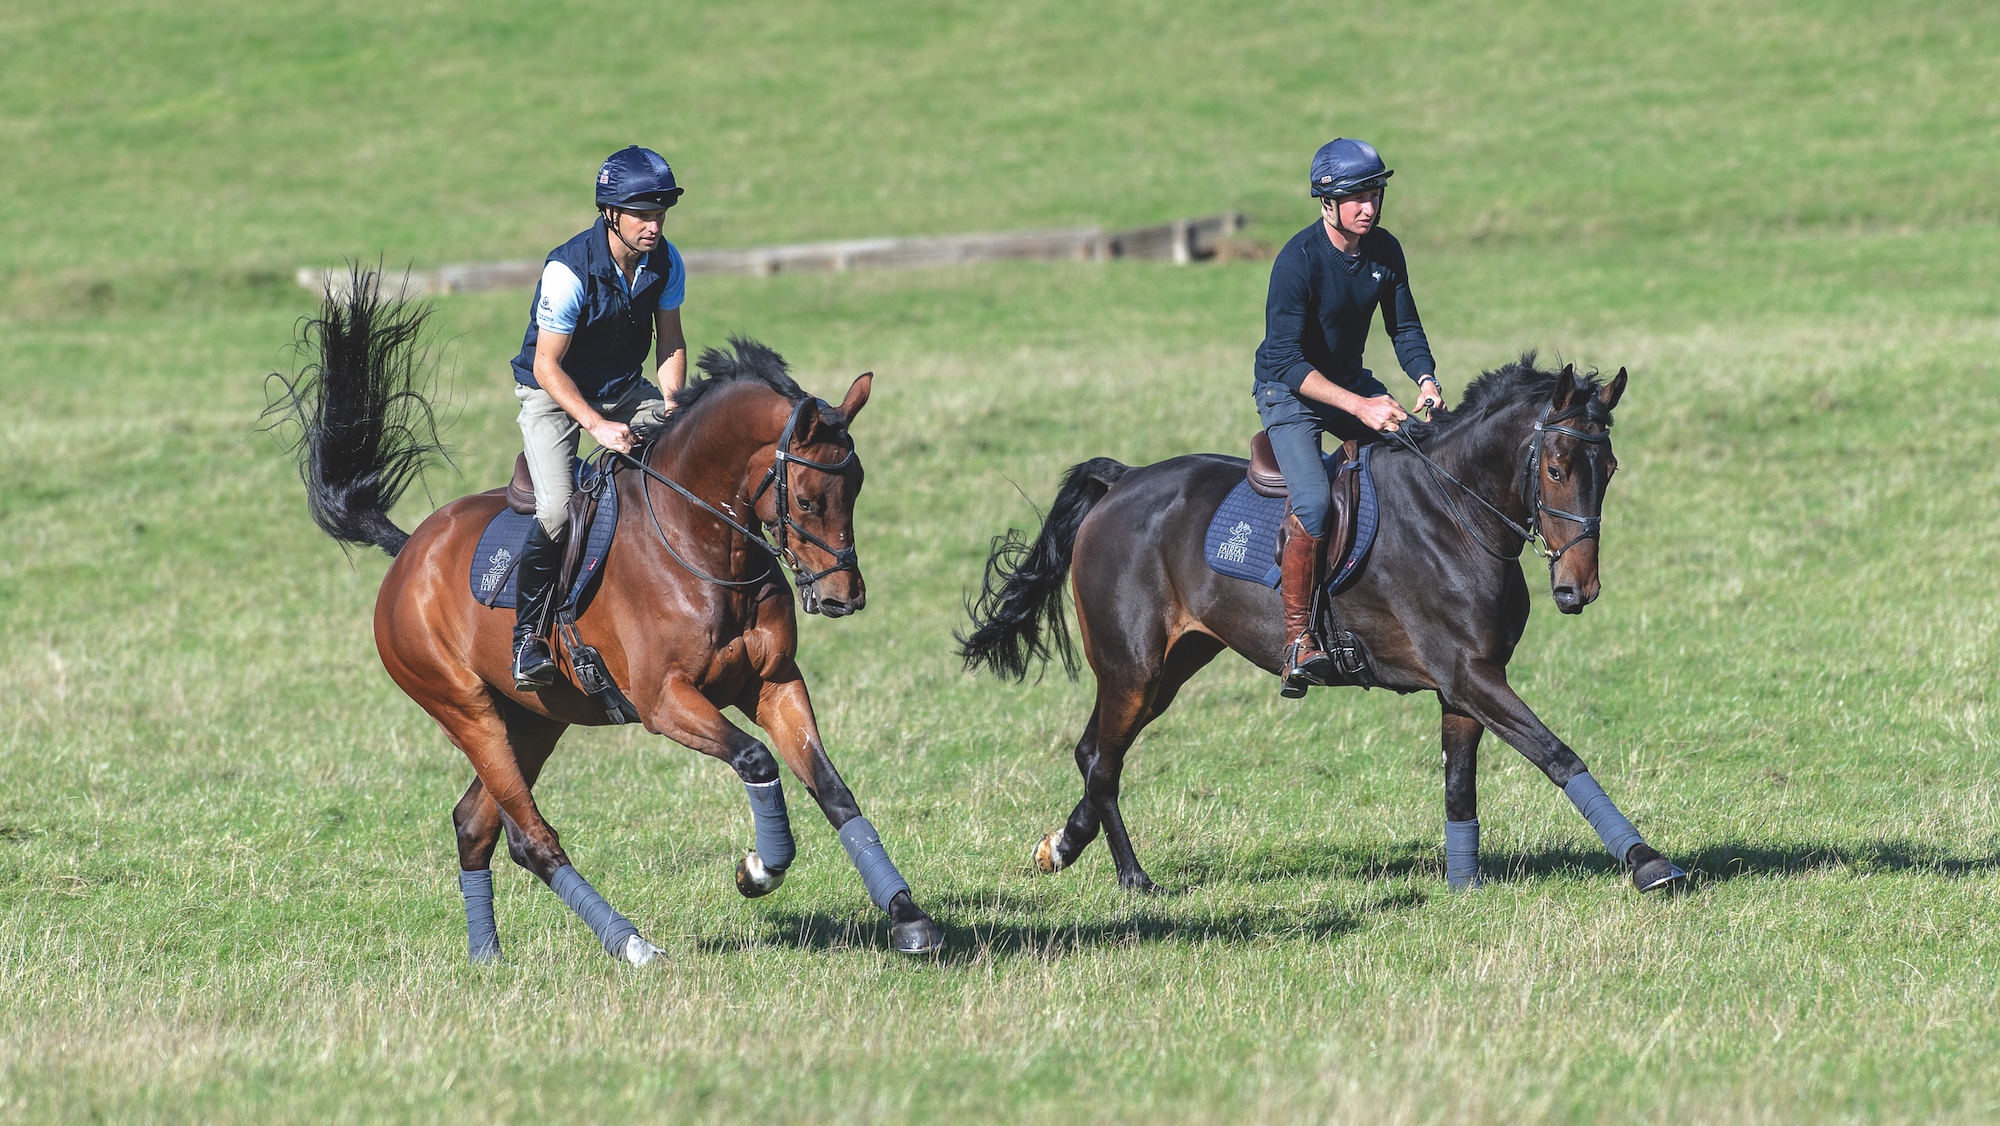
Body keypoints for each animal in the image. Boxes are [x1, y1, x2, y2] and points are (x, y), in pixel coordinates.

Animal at [269, 269, 944, 962]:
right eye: (807, 500)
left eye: (856, 487)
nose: (844, 596)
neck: (701, 540)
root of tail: (410, 553)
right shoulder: (664, 700)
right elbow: (756, 760)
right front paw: (760, 868)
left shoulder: (774, 681)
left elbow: (831, 788)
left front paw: (907, 918)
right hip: (466, 710)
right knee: (528, 837)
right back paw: (632, 945)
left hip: (534, 719)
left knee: (475, 824)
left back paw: (488, 954)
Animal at [957, 357, 1687, 895]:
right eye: (1556, 469)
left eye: (1609, 470)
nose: (1577, 590)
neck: (1455, 513)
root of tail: (1125, 480)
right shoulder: (1470, 676)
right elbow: (1558, 754)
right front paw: (1647, 862)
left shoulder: (1466, 685)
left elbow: (1459, 783)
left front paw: (1464, 883)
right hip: (1132, 667)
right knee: (1104, 761)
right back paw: (1134, 878)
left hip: (1172, 665)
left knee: (1095, 754)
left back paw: (1061, 846)